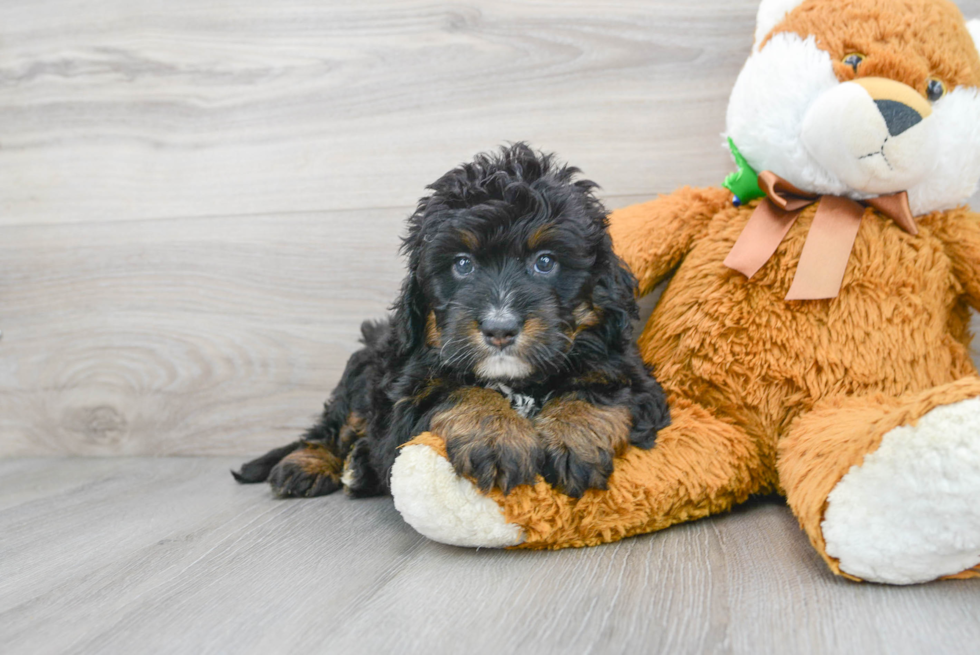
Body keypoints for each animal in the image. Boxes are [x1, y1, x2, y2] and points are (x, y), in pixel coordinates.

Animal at [234, 144, 668, 500]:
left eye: (545, 262)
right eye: (463, 264)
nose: (499, 330)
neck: (516, 381)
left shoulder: (626, 369)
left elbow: (601, 388)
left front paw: (571, 436)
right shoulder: (406, 389)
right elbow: (457, 391)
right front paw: (496, 436)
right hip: (363, 372)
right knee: (333, 427)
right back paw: (306, 464)